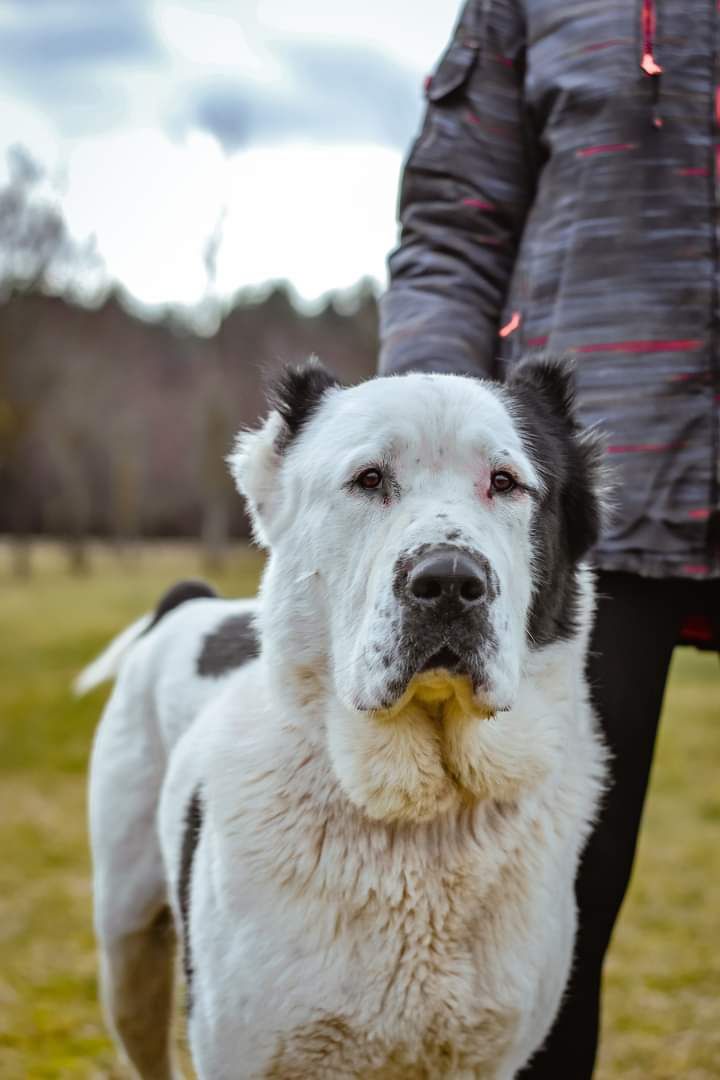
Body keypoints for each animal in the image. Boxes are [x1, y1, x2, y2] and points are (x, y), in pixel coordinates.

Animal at [78, 358, 608, 1075]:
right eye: (369, 479)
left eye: (505, 482)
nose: (449, 582)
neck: (423, 826)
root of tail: (189, 601)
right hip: (127, 950)